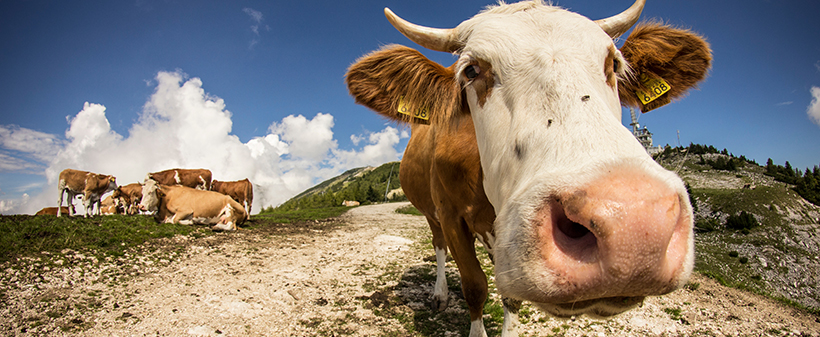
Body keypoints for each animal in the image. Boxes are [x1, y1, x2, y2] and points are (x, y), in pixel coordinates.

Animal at [342, 1, 708, 334]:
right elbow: (475, 286)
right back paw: (440, 294)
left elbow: (511, 297)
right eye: (471, 70)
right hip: (431, 212)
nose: (633, 227)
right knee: (439, 245)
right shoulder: (451, 215)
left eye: (614, 63)